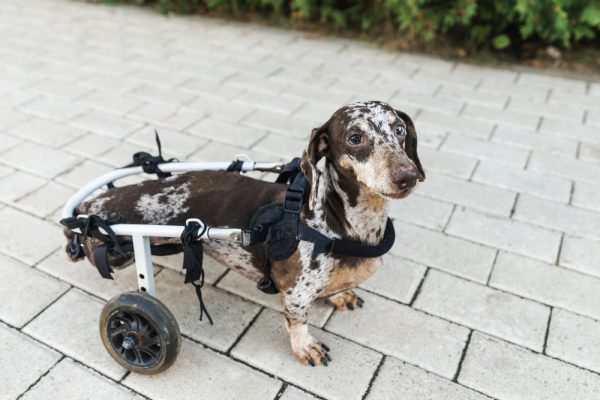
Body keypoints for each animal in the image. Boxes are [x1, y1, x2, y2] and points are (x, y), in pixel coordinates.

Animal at [68, 100, 424, 366]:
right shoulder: (295, 293)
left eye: (399, 128)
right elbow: (298, 322)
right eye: (354, 137)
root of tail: (91, 203)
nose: (408, 176)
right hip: (121, 251)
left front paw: (339, 295)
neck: (335, 222)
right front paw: (305, 346)